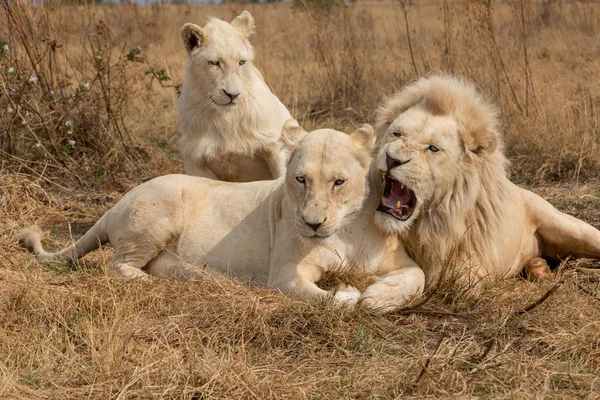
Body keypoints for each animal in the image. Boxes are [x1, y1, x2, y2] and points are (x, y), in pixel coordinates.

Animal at [18, 120, 422, 308]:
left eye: (338, 182)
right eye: (300, 179)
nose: (312, 223)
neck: (345, 230)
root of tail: (115, 204)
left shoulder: (402, 260)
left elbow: (416, 277)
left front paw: (378, 296)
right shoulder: (285, 273)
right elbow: (324, 297)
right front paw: (350, 294)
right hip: (155, 216)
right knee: (116, 265)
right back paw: (154, 282)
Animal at [177, 10, 292, 182]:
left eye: (241, 62)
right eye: (214, 63)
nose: (233, 94)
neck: (226, 118)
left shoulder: (276, 147)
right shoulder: (195, 160)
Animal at [370, 75, 600, 288]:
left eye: (433, 149)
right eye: (396, 133)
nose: (392, 159)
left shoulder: (476, 263)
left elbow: (456, 278)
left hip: (568, 226)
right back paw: (539, 268)